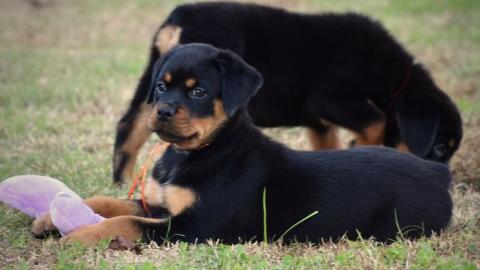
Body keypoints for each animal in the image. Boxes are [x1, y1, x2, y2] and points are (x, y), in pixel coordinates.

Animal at [35, 44, 452, 247]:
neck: (196, 154)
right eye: (161, 86)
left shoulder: (195, 226)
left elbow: (127, 221)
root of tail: (437, 170)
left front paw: (76, 236)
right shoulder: (159, 204)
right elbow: (108, 202)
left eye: (199, 92)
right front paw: (49, 218)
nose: (163, 111)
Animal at [112, 1, 462, 185]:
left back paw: (122, 182)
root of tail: (181, 17)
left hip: (155, 83)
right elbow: (375, 121)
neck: (394, 80)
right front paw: (365, 147)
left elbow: (330, 146)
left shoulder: (320, 123)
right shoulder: (329, 98)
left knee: (130, 125)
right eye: (439, 147)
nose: (445, 182)